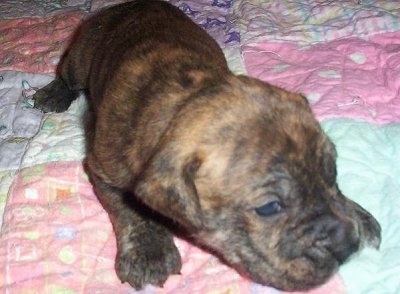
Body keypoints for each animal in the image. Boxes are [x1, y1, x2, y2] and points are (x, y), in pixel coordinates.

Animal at [32, 0, 382, 290]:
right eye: (269, 208)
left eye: (332, 174)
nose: (347, 245)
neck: (185, 98)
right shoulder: (103, 168)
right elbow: (129, 208)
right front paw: (148, 250)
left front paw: (357, 213)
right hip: (83, 54)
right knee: (68, 74)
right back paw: (54, 93)